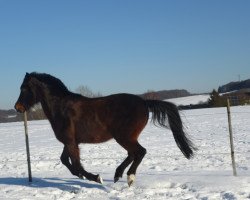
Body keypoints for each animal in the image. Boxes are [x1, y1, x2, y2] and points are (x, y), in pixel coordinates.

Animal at [14, 72, 196, 187]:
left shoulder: (71, 142)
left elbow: (77, 165)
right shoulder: (70, 142)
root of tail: (144, 102)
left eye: (24, 88)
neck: (61, 107)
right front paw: (82, 176)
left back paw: (129, 177)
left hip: (124, 137)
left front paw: (96, 178)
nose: (18, 107)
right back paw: (117, 174)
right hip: (126, 137)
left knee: (140, 152)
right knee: (133, 153)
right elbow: (66, 161)